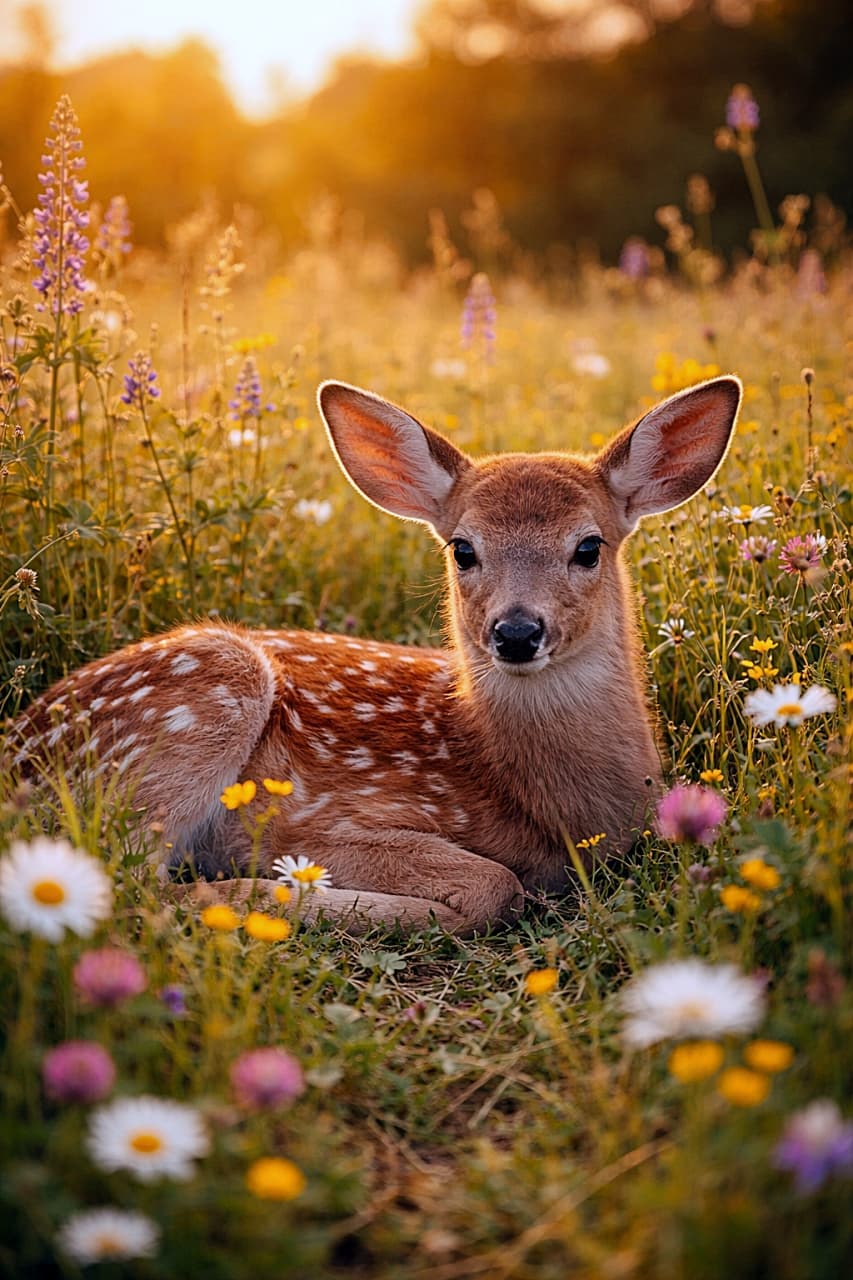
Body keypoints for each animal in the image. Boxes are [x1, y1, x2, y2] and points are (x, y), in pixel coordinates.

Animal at [8, 375, 742, 934]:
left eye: (589, 546)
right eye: (462, 548)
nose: (515, 632)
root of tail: (16, 748)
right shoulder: (314, 820)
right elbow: (491, 883)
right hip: (205, 695)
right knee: (126, 881)